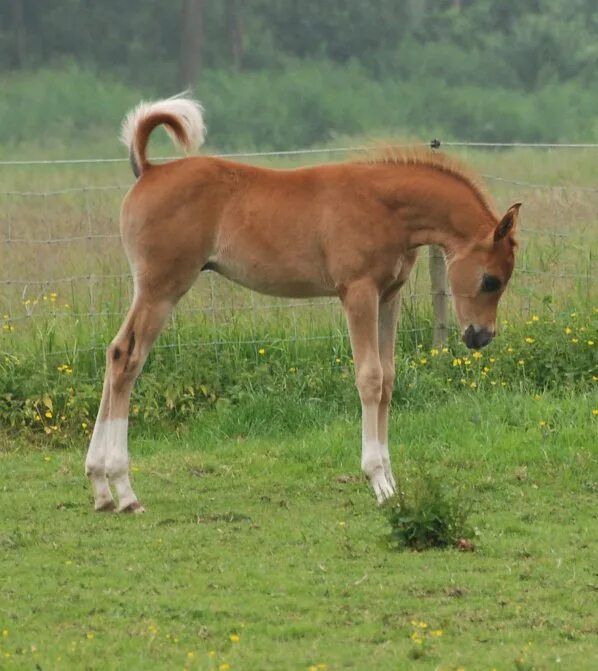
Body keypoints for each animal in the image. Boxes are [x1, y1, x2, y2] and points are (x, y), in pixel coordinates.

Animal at [85, 94, 520, 512]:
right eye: (491, 279)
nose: (481, 337)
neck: (383, 206)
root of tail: (149, 170)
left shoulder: (389, 295)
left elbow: (388, 378)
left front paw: (393, 485)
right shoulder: (358, 292)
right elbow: (370, 378)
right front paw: (378, 483)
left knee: (114, 353)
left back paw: (101, 487)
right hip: (161, 288)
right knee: (127, 357)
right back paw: (124, 489)